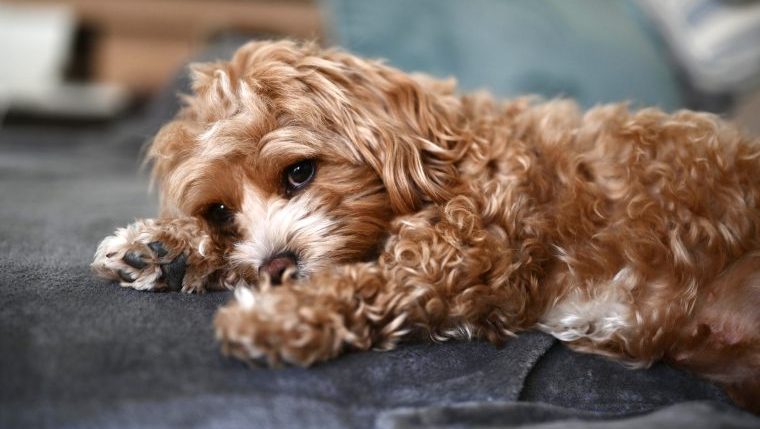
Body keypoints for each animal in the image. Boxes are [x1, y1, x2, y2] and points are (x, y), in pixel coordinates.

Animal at [92, 41, 756, 410]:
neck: (444, 150)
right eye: (221, 212)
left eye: (299, 172)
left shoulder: (468, 253)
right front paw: (159, 246)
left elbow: (369, 282)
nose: (277, 267)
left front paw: (270, 317)